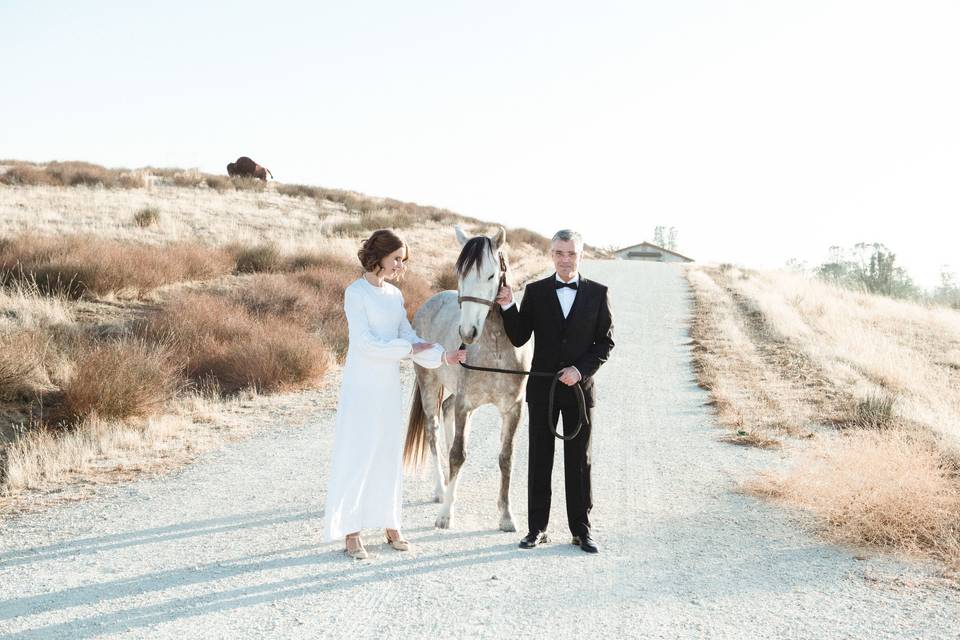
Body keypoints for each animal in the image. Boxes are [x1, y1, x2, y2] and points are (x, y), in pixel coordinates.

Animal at [402, 225, 528, 528]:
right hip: (428, 383)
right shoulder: (465, 404)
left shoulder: (513, 409)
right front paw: (445, 515)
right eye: (459, 273)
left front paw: (506, 516)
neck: (495, 348)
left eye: (491, 275)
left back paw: (450, 486)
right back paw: (441, 490)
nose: (467, 332)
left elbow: (505, 457)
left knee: (445, 413)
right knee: (434, 431)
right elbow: (458, 454)